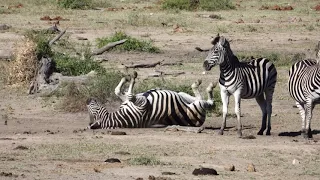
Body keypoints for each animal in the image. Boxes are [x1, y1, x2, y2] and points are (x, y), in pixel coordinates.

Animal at [87, 71, 218, 129]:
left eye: (92, 111)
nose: (87, 100)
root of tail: (199, 122)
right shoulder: (143, 104)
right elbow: (130, 95)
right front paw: (132, 77)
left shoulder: (131, 101)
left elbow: (118, 91)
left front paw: (125, 78)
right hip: (196, 108)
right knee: (209, 103)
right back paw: (208, 86)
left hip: (183, 95)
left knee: (199, 97)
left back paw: (199, 84)